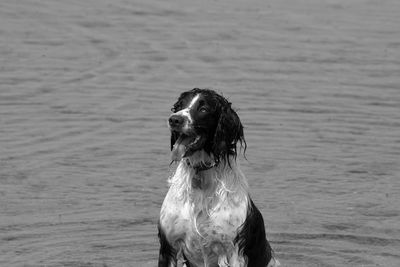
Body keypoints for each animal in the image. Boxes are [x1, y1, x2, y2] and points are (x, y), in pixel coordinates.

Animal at [157, 89, 278, 266]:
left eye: (203, 109)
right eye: (179, 106)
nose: (174, 119)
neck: (200, 178)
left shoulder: (233, 251)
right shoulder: (168, 246)